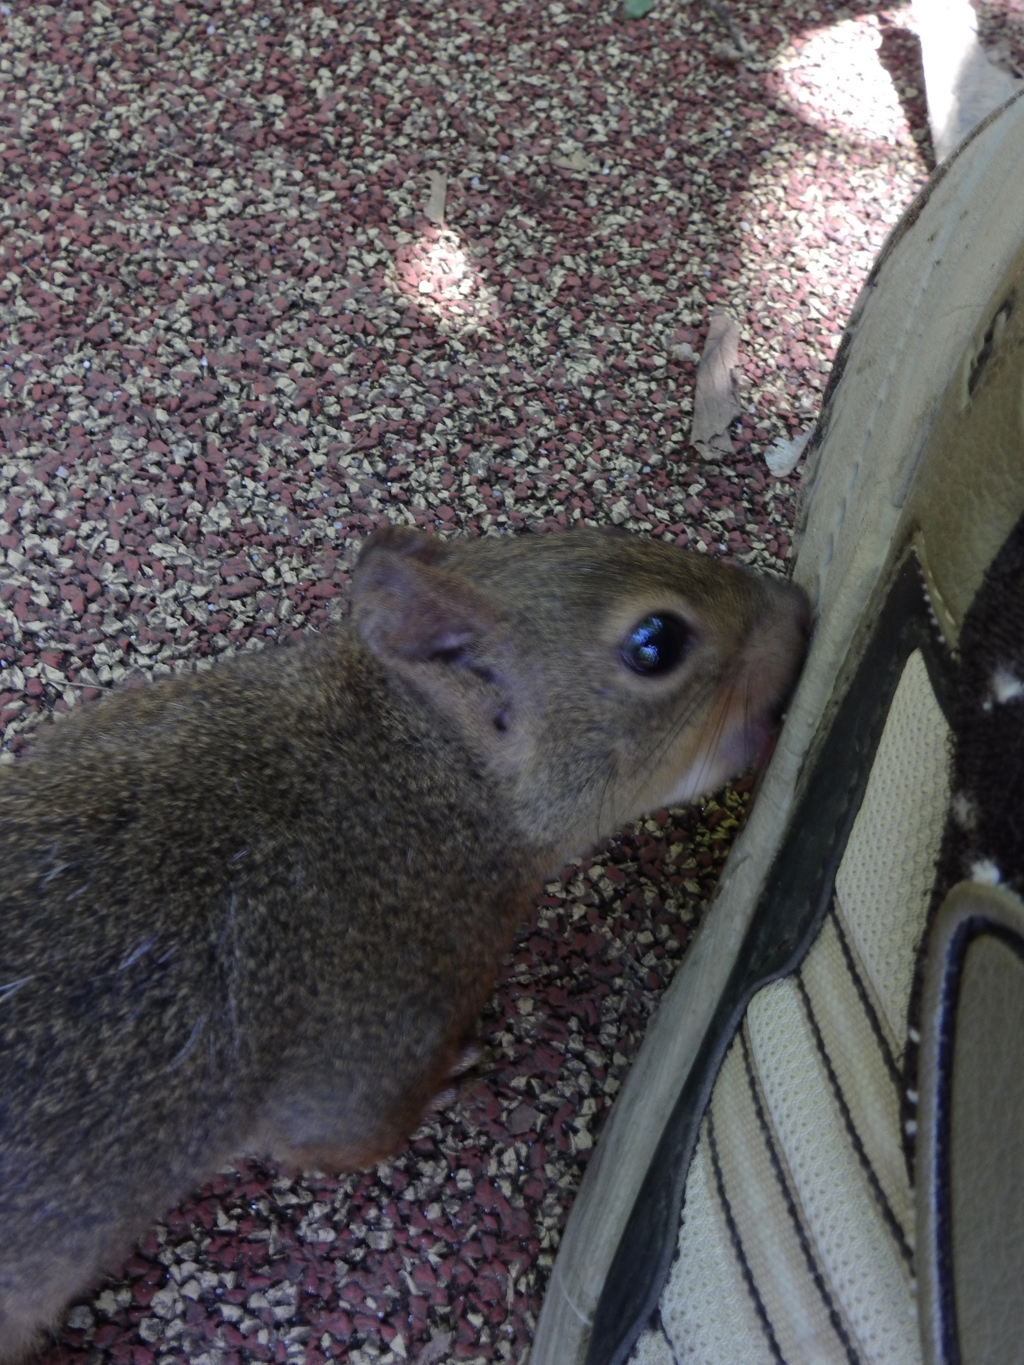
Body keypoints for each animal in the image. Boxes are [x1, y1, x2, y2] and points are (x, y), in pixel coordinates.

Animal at [0, 521, 808, 1354]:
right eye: (655, 642)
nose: (799, 607)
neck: (419, 767)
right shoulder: (372, 1035)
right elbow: (337, 1140)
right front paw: (446, 1080)